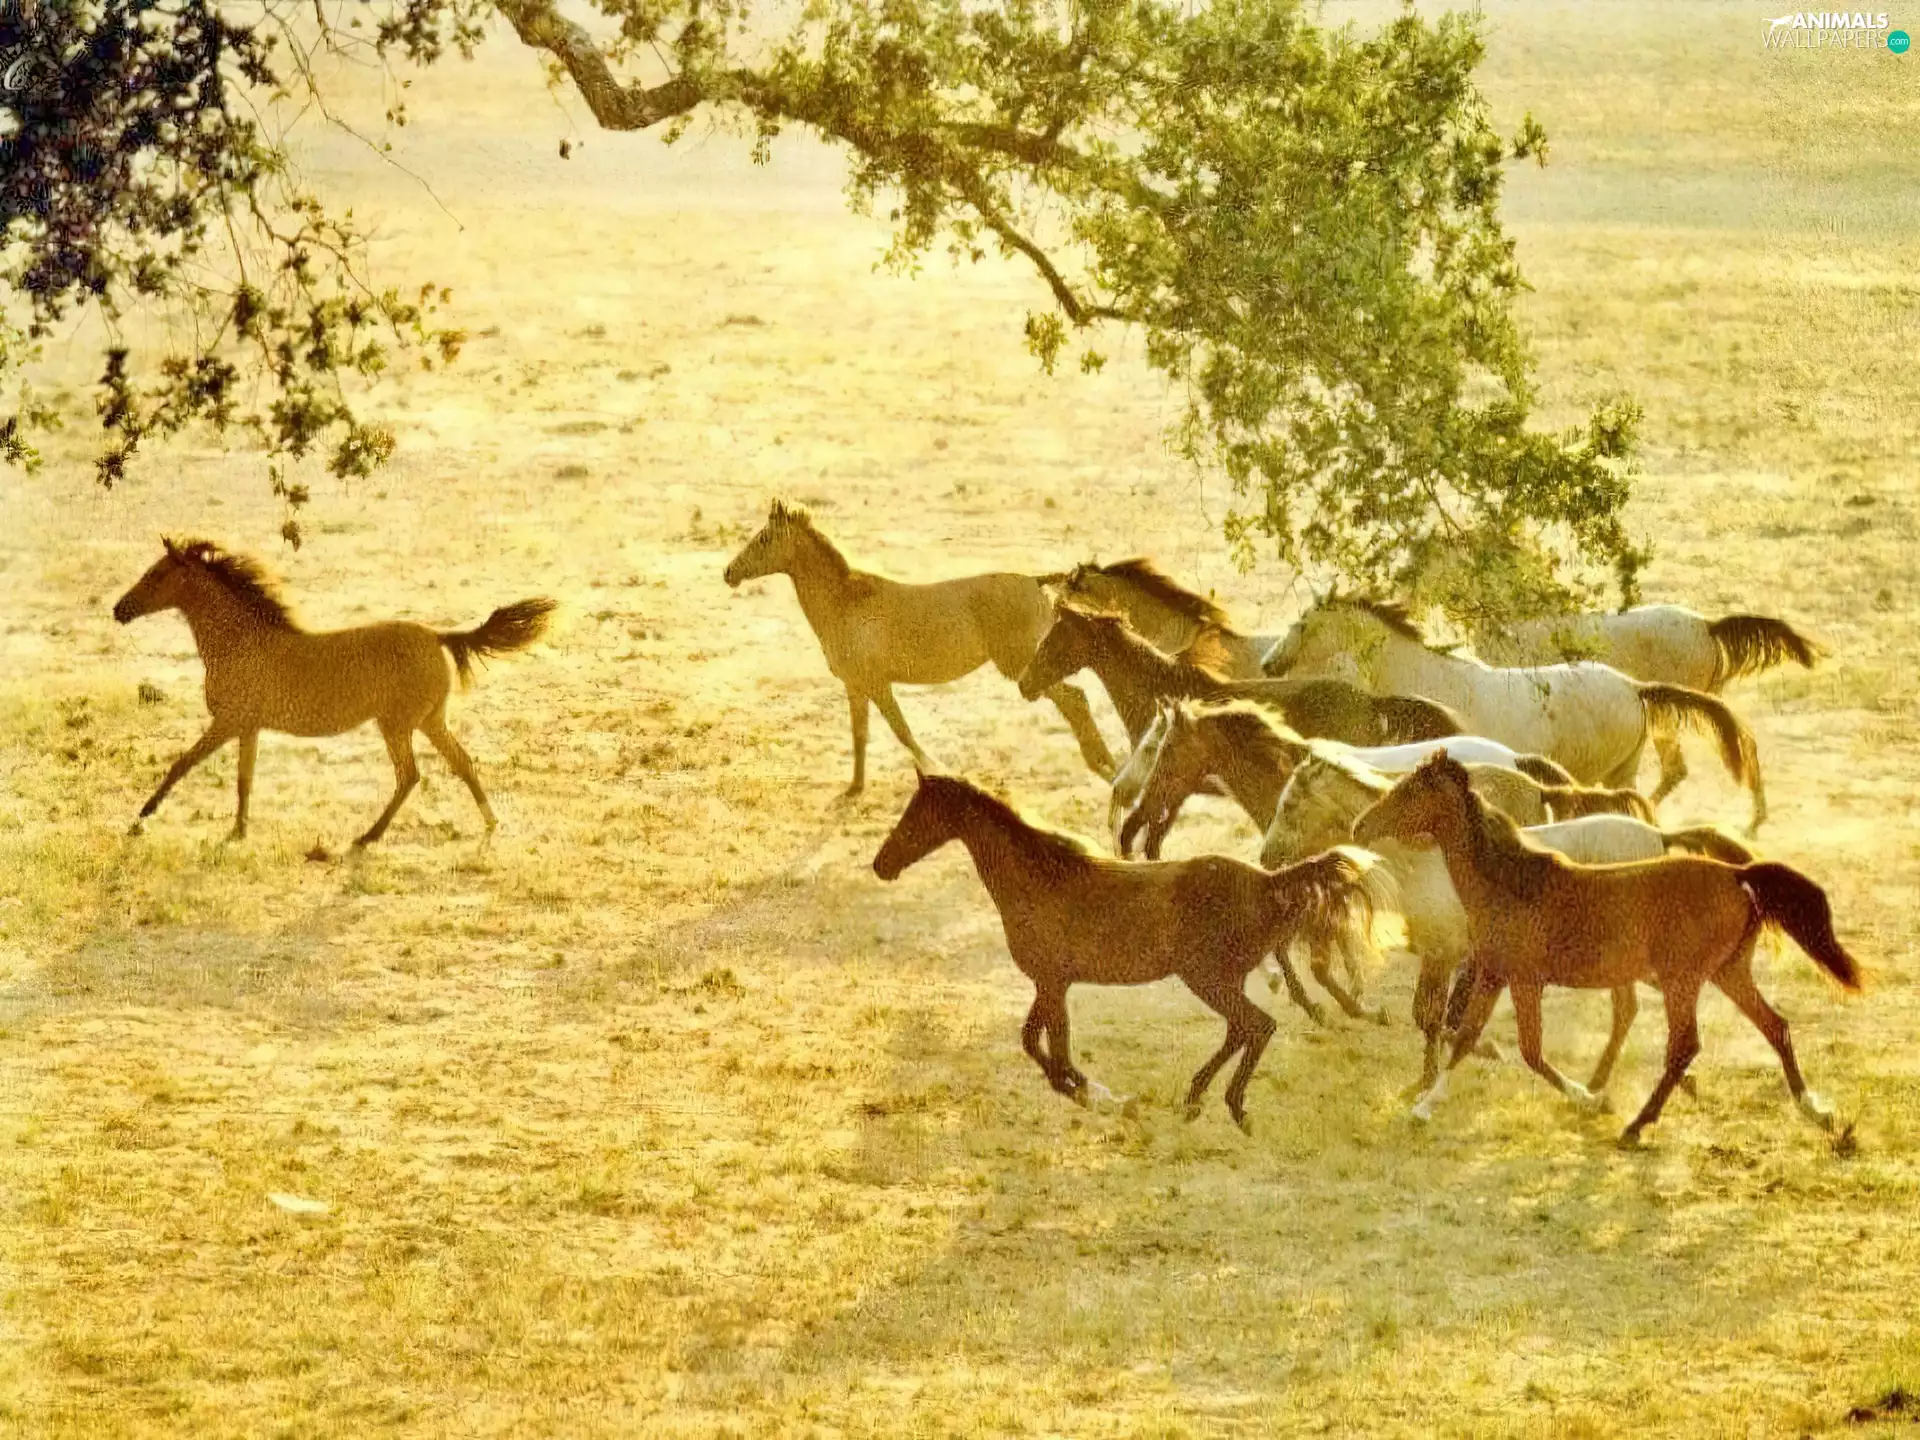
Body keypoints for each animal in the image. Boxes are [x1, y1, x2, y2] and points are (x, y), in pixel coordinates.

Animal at [112, 537, 554, 846]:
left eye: (155, 575)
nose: (119, 610)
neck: (238, 642)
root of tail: (438, 636)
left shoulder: (228, 721)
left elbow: (181, 764)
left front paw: (142, 817)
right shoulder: (248, 726)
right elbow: (244, 780)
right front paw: (238, 831)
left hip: (396, 725)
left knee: (410, 775)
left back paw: (368, 837)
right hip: (429, 721)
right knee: (462, 763)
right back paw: (491, 822)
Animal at [722, 500, 1114, 794]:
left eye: (763, 539)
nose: (728, 573)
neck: (844, 601)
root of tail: (1036, 581)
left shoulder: (877, 684)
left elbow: (902, 731)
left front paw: (935, 769)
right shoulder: (856, 686)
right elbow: (860, 734)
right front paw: (854, 788)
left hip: (1022, 666)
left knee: (1075, 699)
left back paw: (1105, 767)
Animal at [871, 771, 1380, 1131]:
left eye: (916, 813)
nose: (881, 865)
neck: (1038, 879)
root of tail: (1269, 881)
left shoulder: (1051, 983)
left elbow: (1051, 1047)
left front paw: (1088, 1092)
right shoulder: (1051, 983)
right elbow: (1036, 1040)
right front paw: (1085, 1087)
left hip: (1208, 979)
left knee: (1258, 1026)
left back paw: (1234, 1108)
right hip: (1222, 980)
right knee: (1242, 1029)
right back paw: (1194, 1099)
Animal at [1263, 745, 1751, 1091]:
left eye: (1289, 806)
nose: (1266, 858)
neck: (1427, 866)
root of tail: (1658, 837)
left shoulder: (1446, 955)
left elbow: (1432, 1018)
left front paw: (1440, 1071)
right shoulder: (1444, 957)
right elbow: (1432, 1018)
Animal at [1354, 755, 1860, 1143]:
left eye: (1409, 791)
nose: (1361, 826)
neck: (1509, 883)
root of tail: (1738, 875)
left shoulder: (1517, 977)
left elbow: (1519, 1049)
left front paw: (1589, 1099)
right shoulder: (1498, 974)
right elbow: (1473, 1038)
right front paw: (1424, 1105)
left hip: (1682, 980)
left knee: (1684, 1045)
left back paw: (1636, 1126)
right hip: (1726, 972)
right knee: (1775, 1026)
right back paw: (1818, 1112)